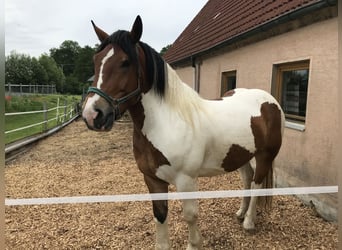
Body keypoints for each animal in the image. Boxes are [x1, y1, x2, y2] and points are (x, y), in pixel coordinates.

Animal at [81, 16, 284, 250]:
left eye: (125, 62)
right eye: (96, 60)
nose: (92, 114)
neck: (167, 122)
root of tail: (270, 101)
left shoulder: (186, 180)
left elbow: (190, 216)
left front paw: (194, 244)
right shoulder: (153, 179)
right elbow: (160, 216)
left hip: (264, 156)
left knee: (257, 183)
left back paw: (249, 222)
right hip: (241, 155)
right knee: (247, 180)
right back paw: (241, 213)